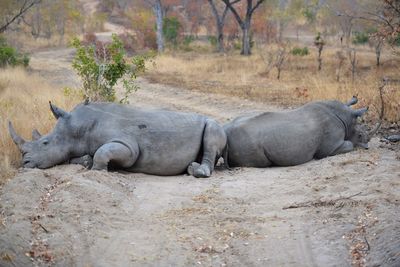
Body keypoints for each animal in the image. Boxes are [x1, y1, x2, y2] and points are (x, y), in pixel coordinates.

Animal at [9, 101, 227, 179]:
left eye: (45, 143)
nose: (24, 163)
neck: (76, 128)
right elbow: (79, 156)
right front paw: (86, 161)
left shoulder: (128, 147)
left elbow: (102, 152)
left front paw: (97, 170)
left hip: (213, 123)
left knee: (211, 135)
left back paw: (197, 172)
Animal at [222, 96, 372, 168]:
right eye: (360, 135)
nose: (367, 146)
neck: (346, 117)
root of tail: (225, 131)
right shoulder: (330, 148)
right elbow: (349, 144)